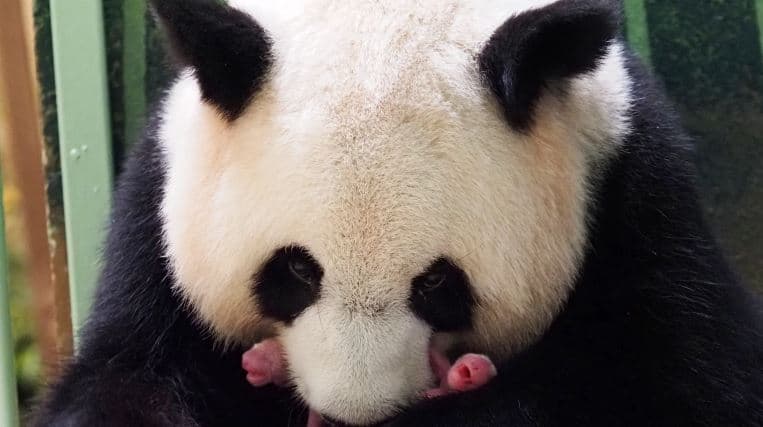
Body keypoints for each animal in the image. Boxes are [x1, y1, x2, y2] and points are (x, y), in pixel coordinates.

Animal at [35, 0, 763, 426]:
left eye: (437, 283)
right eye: (295, 271)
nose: (350, 412)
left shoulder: (636, 202)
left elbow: (678, 390)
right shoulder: (157, 216)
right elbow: (122, 381)